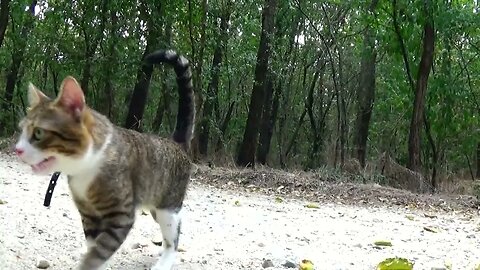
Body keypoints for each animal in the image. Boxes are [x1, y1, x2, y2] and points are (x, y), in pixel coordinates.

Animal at [15, 49, 195, 268]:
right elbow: (95, 245)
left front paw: (89, 263)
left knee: (174, 233)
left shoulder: (121, 214)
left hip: (167, 206)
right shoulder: (89, 215)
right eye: (21, 130)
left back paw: (165, 260)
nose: (17, 150)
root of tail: (177, 143)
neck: (86, 168)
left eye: (39, 133)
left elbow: (101, 250)